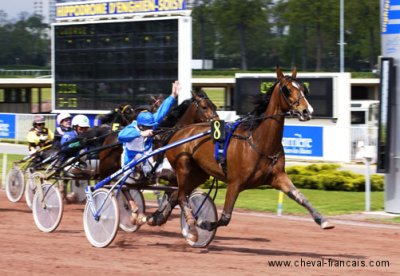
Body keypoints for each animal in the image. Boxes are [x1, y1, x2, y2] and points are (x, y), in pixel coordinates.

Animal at [153, 67, 334, 244]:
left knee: (176, 195)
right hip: (183, 168)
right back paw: (191, 227)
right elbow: (225, 217)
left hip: (199, 174)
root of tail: (178, 131)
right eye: (287, 89)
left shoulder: (278, 177)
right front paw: (203, 223)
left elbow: (301, 197)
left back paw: (158, 218)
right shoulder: (235, 182)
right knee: (181, 196)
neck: (259, 142)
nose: (307, 111)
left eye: (303, 88)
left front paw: (323, 220)